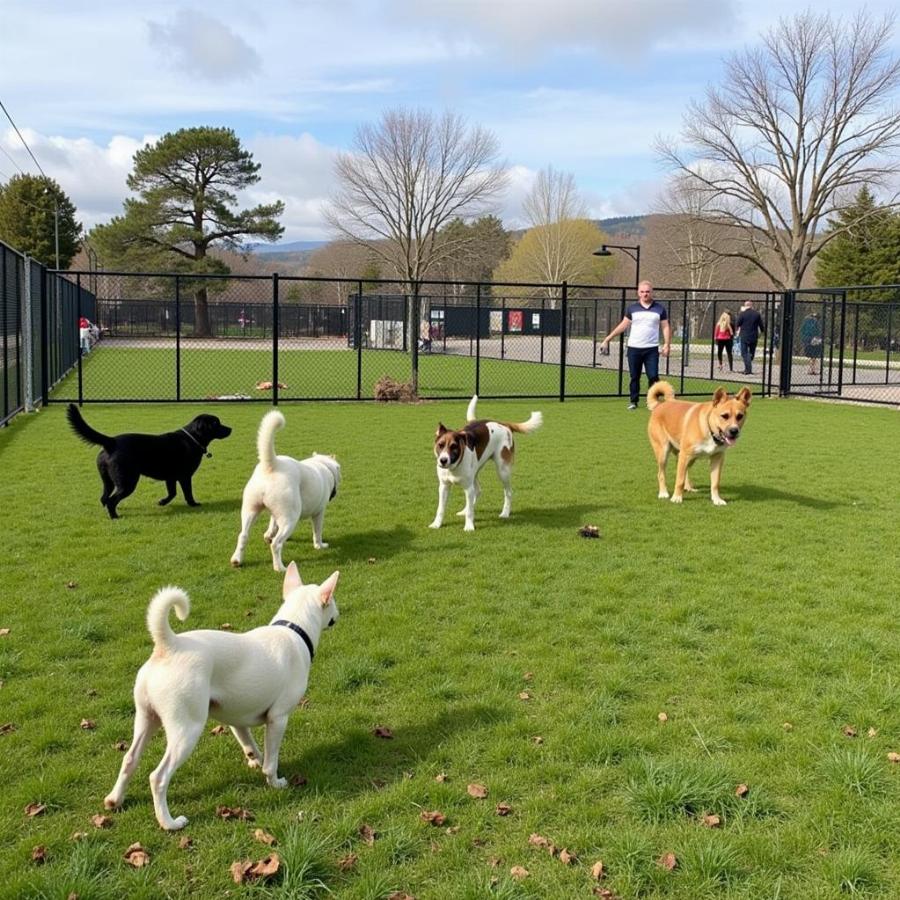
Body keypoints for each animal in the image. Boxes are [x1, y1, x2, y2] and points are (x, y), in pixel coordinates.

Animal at [68, 404, 234, 516]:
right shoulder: (185, 476)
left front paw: (162, 502)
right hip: (127, 481)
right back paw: (115, 516)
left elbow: (172, 493)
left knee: (104, 498)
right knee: (111, 500)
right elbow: (187, 493)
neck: (192, 438)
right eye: (216, 423)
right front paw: (193, 504)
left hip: (108, 480)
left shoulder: (171, 477)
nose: (231, 429)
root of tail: (111, 441)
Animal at [428, 396, 540, 536]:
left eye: (454, 447)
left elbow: (470, 512)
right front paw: (436, 524)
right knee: (478, 490)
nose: (443, 460)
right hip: (476, 471)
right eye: (440, 445)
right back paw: (465, 509)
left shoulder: (468, 488)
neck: (454, 467)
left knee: (508, 492)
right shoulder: (444, 487)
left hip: (503, 471)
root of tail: (503, 424)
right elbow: (441, 509)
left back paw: (505, 513)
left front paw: (469, 526)